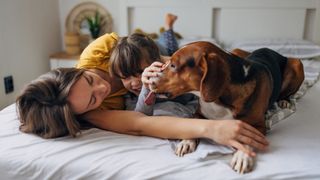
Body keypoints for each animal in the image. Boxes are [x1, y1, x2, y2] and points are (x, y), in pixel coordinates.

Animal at [149, 41, 304, 174]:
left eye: (173, 65)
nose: (149, 79)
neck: (218, 101)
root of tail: (268, 49)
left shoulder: (259, 126)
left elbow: (247, 141)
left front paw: (242, 156)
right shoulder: (199, 113)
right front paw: (186, 142)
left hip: (297, 63)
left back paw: (285, 101)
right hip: (237, 51)